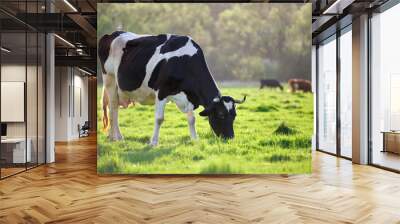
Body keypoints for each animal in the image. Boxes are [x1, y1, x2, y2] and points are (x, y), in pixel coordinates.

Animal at [98, 31, 245, 146]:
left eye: (234, 115)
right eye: (220, 115)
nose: (230, 138)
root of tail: (111, 34)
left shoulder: (189, 96)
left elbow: (192, 119)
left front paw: (195, 139)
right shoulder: (161, 92)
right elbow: (159, 119)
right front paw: (153, 142)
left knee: (112, 108)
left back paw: (111, 137)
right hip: (109, 79)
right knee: (113, 108)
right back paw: (118, 137)